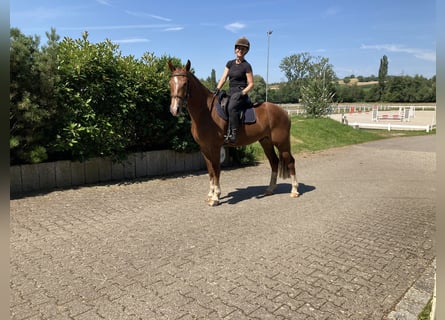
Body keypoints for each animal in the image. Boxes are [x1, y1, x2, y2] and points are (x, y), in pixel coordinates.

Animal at [166, 59, 298, 205]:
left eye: (185, 83)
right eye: (170, 83)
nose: (174, 109)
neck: (206, 112)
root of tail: (284, 112)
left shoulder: (215, 147)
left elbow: (216, 170)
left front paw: (216, 197)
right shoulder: (204, 148)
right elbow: (210, 171)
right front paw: (210, 194)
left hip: (282, 143)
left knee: (290, 161)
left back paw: (294, 190)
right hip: (266, 142)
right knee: (274, 162)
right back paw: (270, 189)